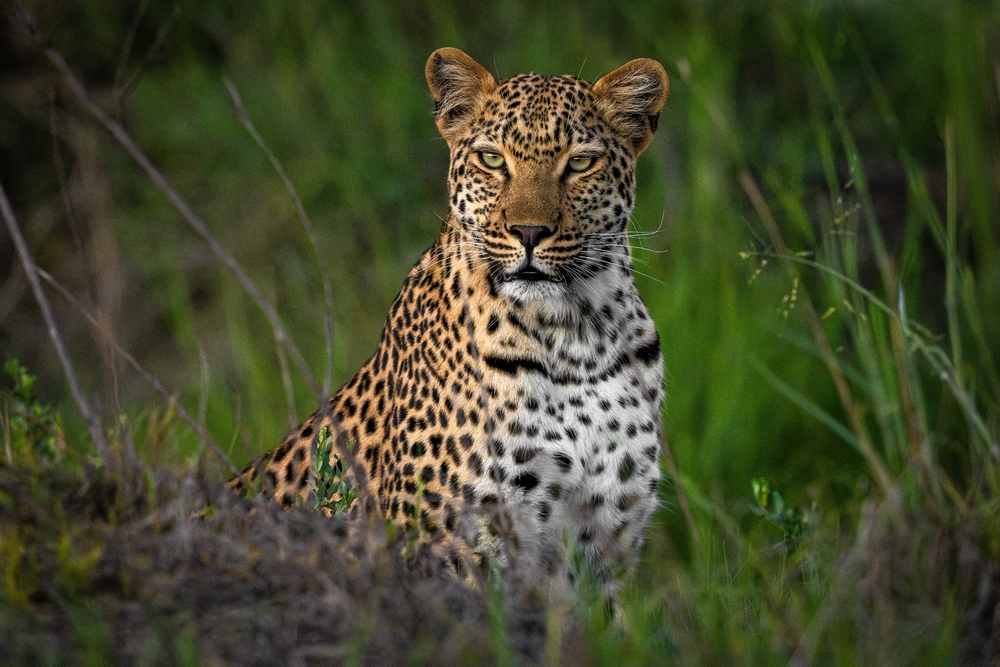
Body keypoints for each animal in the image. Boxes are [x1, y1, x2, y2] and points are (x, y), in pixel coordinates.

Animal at [231, 47, 669, 596]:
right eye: (492, 159)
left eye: (581, 163)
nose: (529, 231)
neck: (576, 335)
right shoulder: (455, 549)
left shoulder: (604, 545)